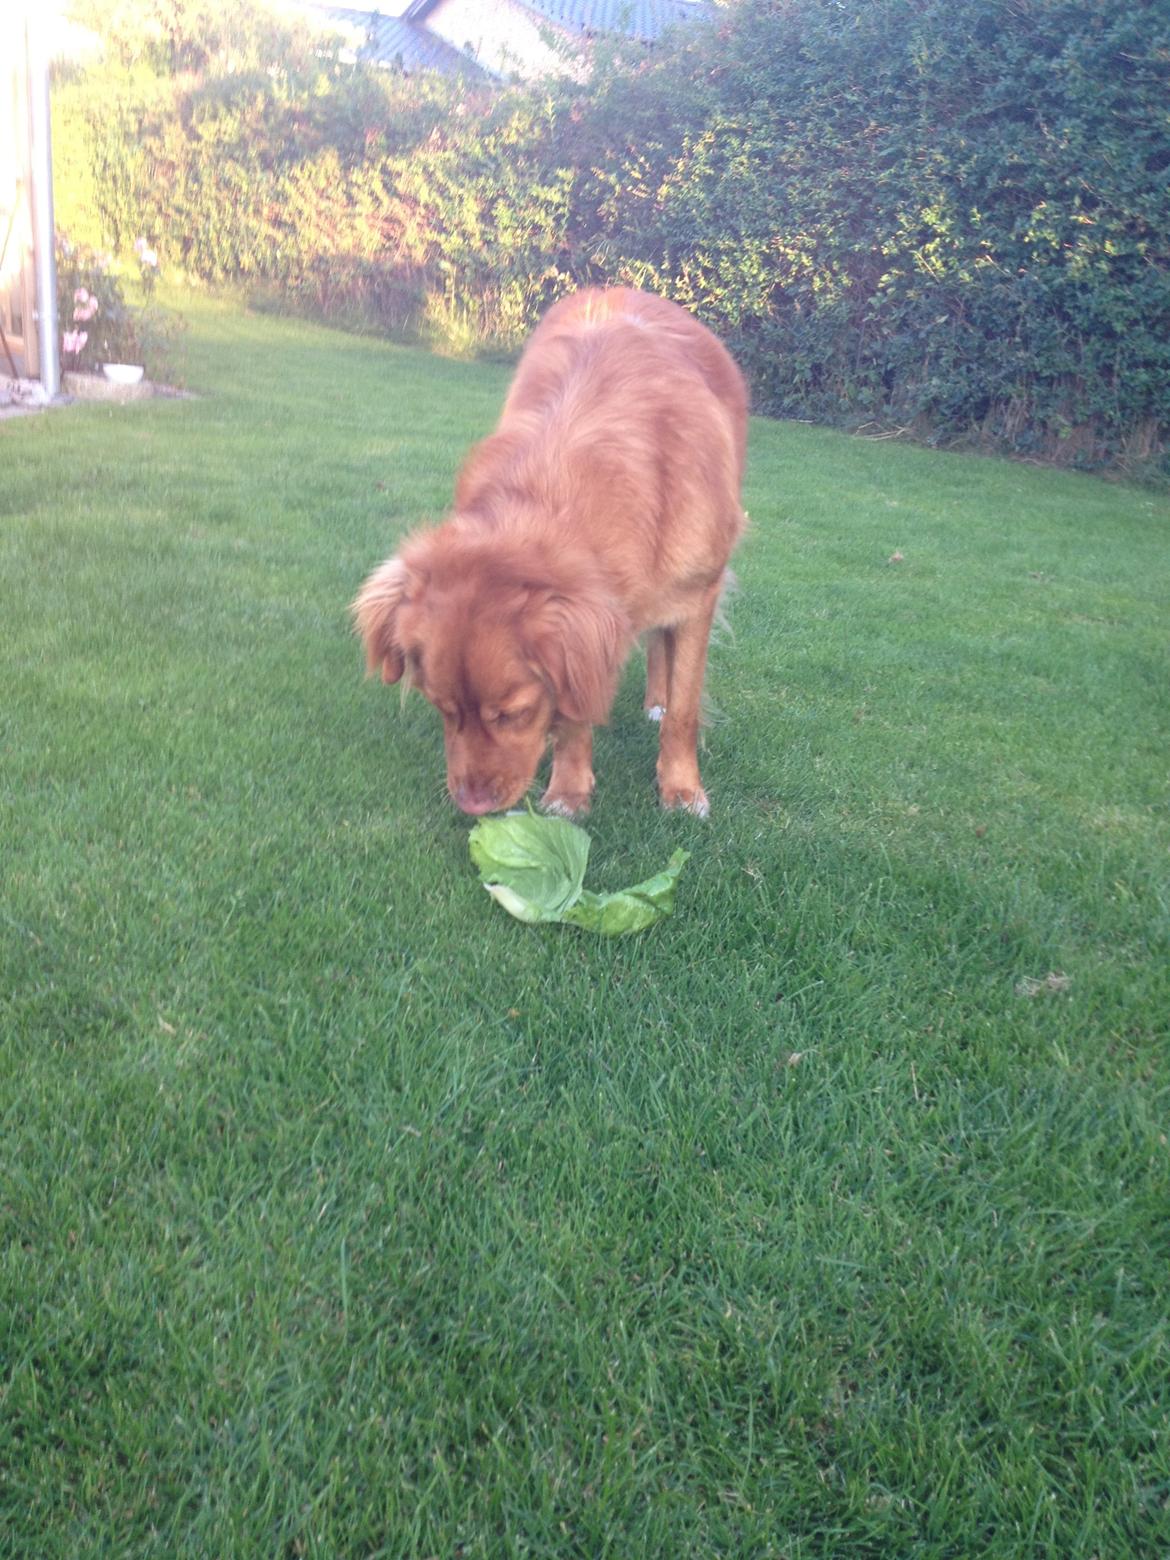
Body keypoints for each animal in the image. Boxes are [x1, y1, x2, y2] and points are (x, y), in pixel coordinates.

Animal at [352, 287, 745, 817]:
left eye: (512, 713)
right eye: (441, 707)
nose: (472, 805)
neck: (552, 488)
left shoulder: (699, 592)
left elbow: (684, 708)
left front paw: (681, 788)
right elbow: (574, 711)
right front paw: (569, 789)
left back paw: (657, 702)